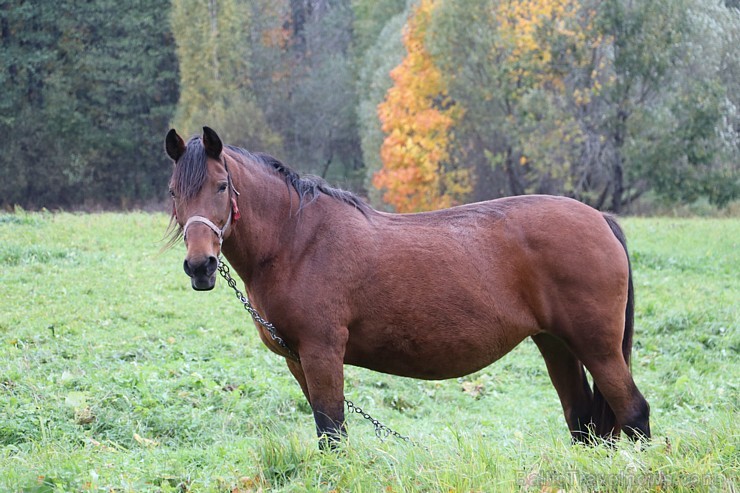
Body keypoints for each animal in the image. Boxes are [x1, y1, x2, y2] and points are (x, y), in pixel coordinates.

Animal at [165, 126, 652, 446]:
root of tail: (600, 218)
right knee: (583, 422)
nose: (200, 266)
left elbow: (333, 432)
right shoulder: (297, 360)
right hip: (556, 345)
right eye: (174, 191)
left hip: (598, 348)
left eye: (221, 186)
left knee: (634, 411)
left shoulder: (322, 353)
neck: (297, 240)